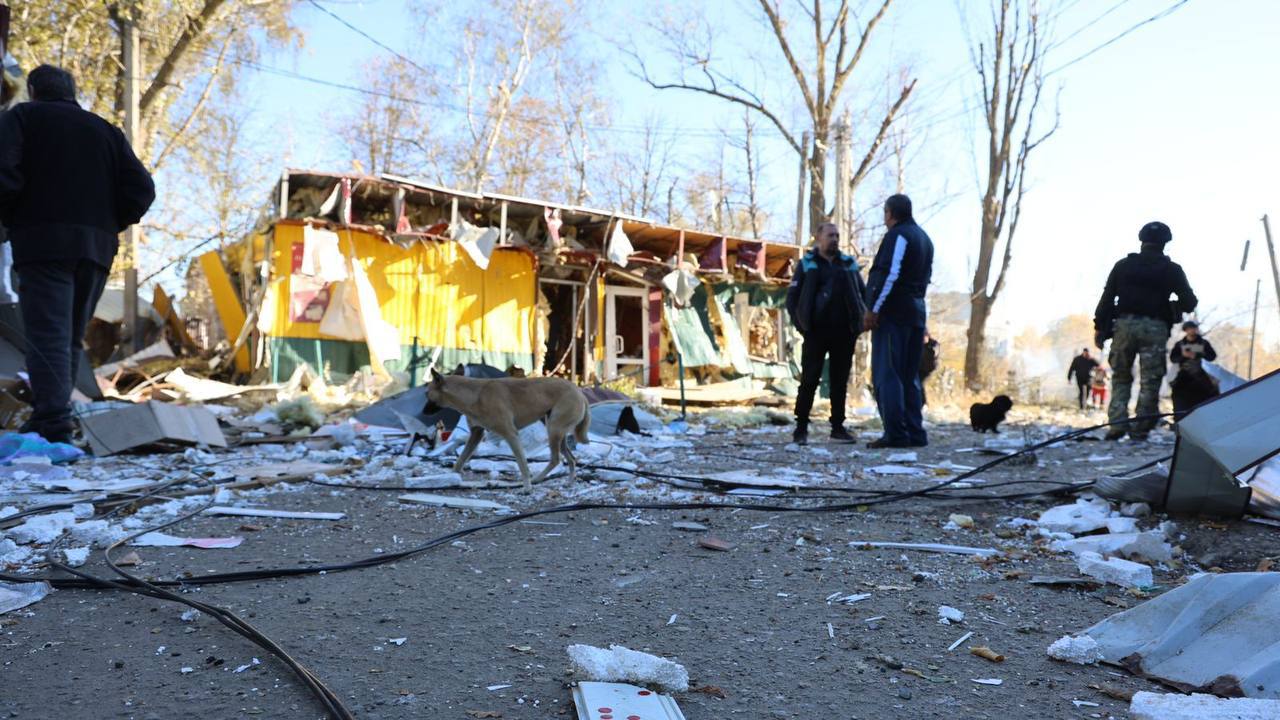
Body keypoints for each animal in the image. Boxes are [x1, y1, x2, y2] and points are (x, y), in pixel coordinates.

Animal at [427, 366, 591, 489]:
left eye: (427, 393)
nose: (424, 412)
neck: (474, 394)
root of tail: (579, 392)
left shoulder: (511, 434)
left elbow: (522, 464)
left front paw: (527, 487)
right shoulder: (476, 434)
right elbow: (460, 459)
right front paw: (451, 476)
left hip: (554, 430)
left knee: (556, 459)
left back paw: (537, 479)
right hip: (558, 433)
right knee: (571, 459)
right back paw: (569, 482)